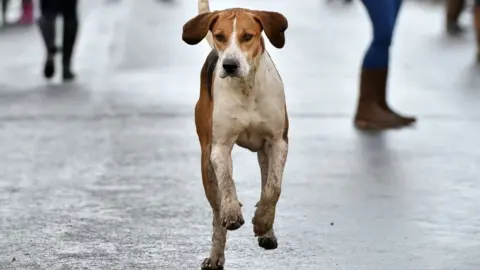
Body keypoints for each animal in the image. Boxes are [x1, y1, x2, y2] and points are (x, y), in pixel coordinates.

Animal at [182, 1, 288, 268]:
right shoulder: (219, 147)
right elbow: (227, 184)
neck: (246, 88)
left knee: (266, 183)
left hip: (264, 153)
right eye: (220, 36)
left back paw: (267, 231)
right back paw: (215, 255)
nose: (229, 65)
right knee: (215, 210)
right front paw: (232, 211)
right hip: (205, 163)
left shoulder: (278, 142)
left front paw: (263, 221)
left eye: (247, 36)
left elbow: (272, 189)